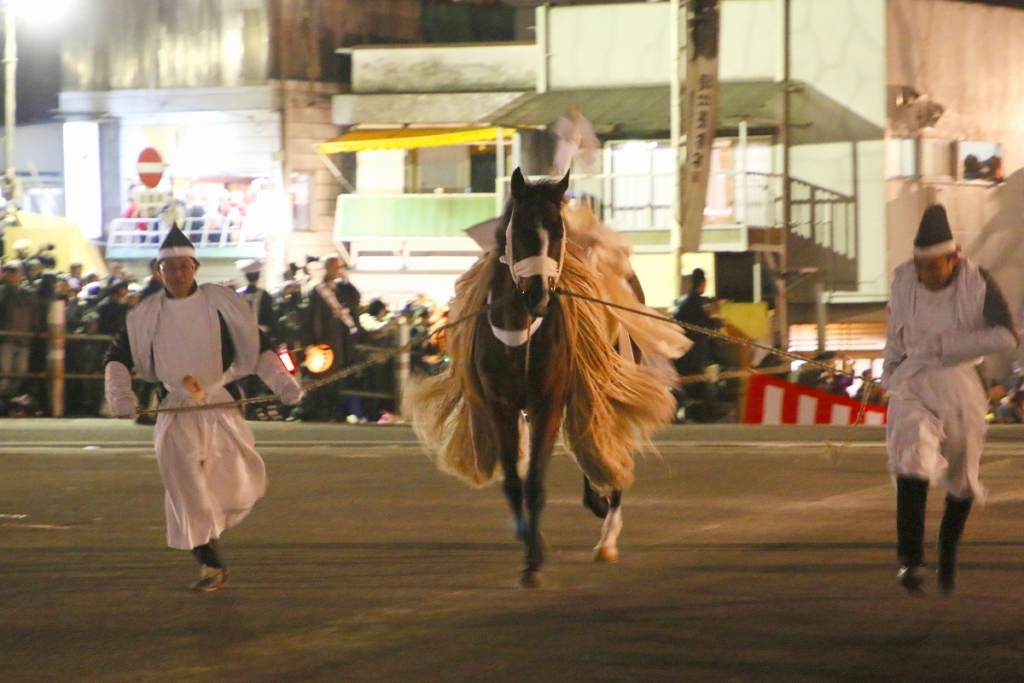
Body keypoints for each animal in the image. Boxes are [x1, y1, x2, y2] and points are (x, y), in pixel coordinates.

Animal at [473, 166, 622, 589]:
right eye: (521, 229)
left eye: (557, 231)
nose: (538, 296)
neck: (520, 332)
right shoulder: (500, 405)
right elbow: (514, 482)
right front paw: (529, 541)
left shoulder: (548, 402)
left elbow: (536, 482)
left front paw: (534, 562)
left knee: (601, 440)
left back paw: (607, 528)